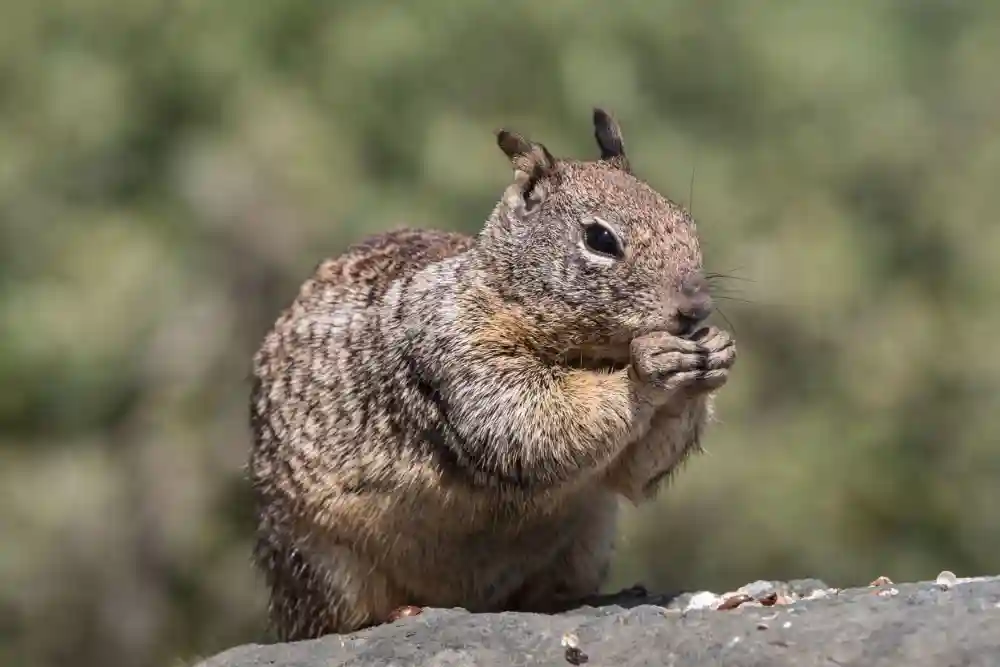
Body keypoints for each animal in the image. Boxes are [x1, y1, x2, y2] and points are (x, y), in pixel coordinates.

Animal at [248, 108, 737, 641]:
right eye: (601, 239)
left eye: (686, 220)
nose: (696, 308)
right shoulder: (460, 350)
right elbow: (530, 419)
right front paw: (648, 367)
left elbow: (633, 473)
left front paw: (715, 351)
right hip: (322, 562)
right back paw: (400, 612)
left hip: (589, 537)